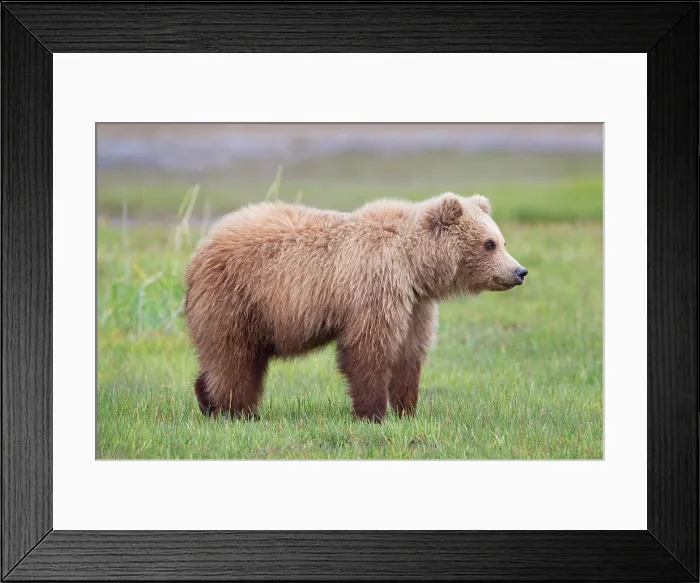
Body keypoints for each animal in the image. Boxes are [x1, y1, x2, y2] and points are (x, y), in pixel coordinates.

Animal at [184, 192, 528, 423]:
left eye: (502, 241)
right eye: (489, 243)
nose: (519, 271)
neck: (414, 264)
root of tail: (201, 248)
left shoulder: (415, 303)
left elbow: (409, 353)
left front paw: (407, 410)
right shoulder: (375, 286)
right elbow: (369, 349)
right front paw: (373, 413)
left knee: (231, 359)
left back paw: (207, 401)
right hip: (237, 297)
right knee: (234, 358)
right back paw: (237, 412)